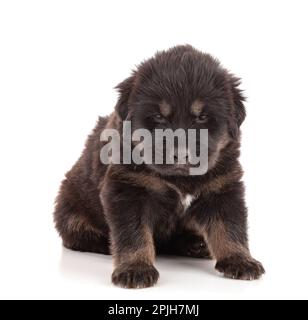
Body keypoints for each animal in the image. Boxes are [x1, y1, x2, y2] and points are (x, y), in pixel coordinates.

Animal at [53, 44, 264, 288]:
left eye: (202, 117)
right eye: (158, 116)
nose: (180, 154)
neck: (180, 179)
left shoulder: (222, 187)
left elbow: (230, 228)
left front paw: (240, 260)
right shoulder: (128, 190)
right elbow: (134, 234)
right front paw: (135, 268)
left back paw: (196, 245)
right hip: (68, 203)